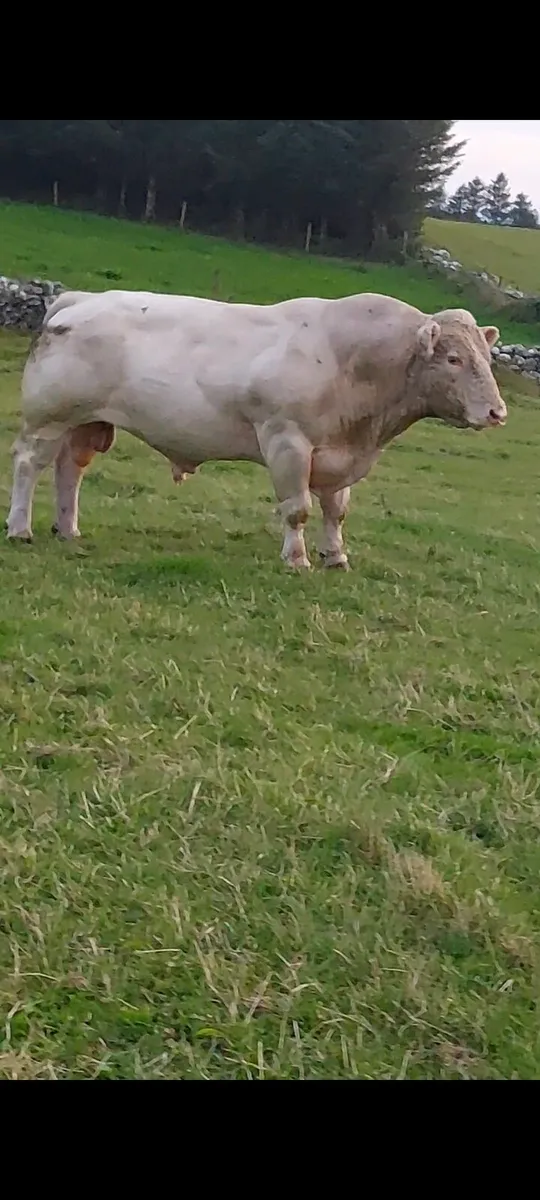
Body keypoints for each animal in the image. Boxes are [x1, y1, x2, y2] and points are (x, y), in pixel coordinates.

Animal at [6, 289, 507, 570]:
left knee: (70, 470)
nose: (497, 412)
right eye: (453, 359)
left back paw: (69, 529)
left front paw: (336, 556)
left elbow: (336, 511)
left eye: (486, 357)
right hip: (49, 416)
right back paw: (19, 529)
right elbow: (298, 509)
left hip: (87, 421)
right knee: (29, 465)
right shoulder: (287, 440)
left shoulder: (338, 456)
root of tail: (80, 298)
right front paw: (297, 558)